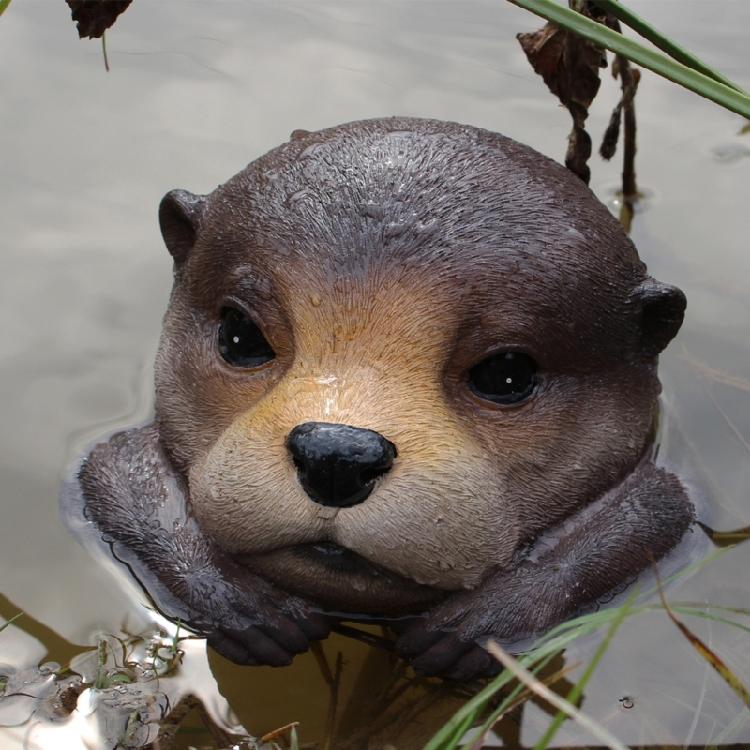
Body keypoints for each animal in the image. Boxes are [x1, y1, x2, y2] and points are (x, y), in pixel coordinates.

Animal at [65, 117, 694, 681]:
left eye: (507, 374)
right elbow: (114, 471)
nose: (336, 454)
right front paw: (243, 602)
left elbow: (655, 510)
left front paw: (482, 623)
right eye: (239, 335)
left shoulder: (661, 496)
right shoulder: (114, 464)